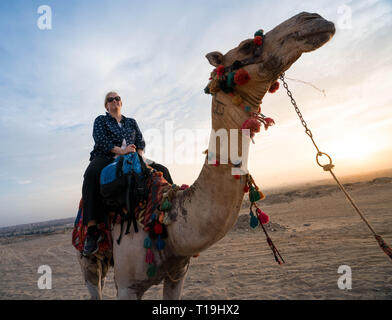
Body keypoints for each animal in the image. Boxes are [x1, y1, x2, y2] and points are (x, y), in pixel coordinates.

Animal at [77, 10, 336, 300]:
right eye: (247, 45)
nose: (312, 18)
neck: (166, 222)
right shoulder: (127, 285)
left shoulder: (177, 274)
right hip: (89, 260)